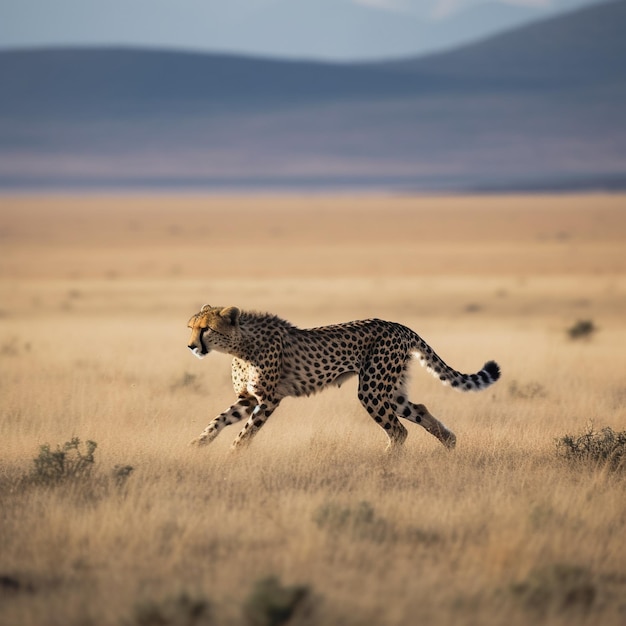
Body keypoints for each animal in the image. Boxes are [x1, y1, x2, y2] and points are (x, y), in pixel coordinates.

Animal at [185, 304, 498, 446]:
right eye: (191, 327)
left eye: (206, 329)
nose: (190, 346)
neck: (241, 345)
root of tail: (400, 325)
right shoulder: (248, 398)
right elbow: (218, 420)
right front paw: (197, 446)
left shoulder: (269, 399)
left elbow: (246, 433)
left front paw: (232, 457)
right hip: (389, 390)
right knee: (419, 409)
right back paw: (449, 443)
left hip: (371, 389)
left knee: (398, 431)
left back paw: (383, 466)